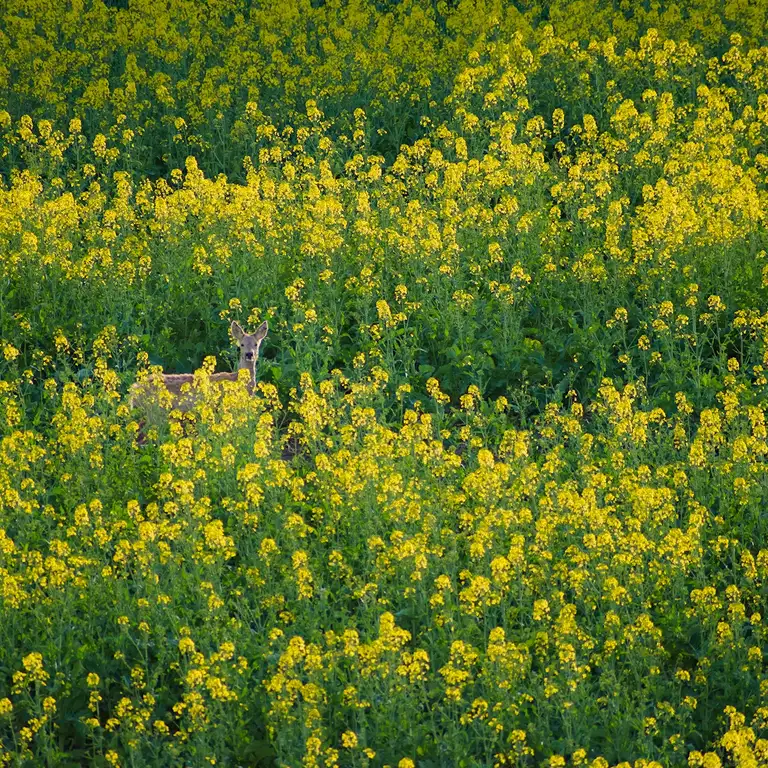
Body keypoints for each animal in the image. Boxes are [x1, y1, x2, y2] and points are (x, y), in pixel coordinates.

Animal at [127, 318, 268, 424]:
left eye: (256, 344)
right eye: (241, 345)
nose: (249, 354)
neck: (238, 380)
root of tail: (134, 390)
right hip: (154, 411)